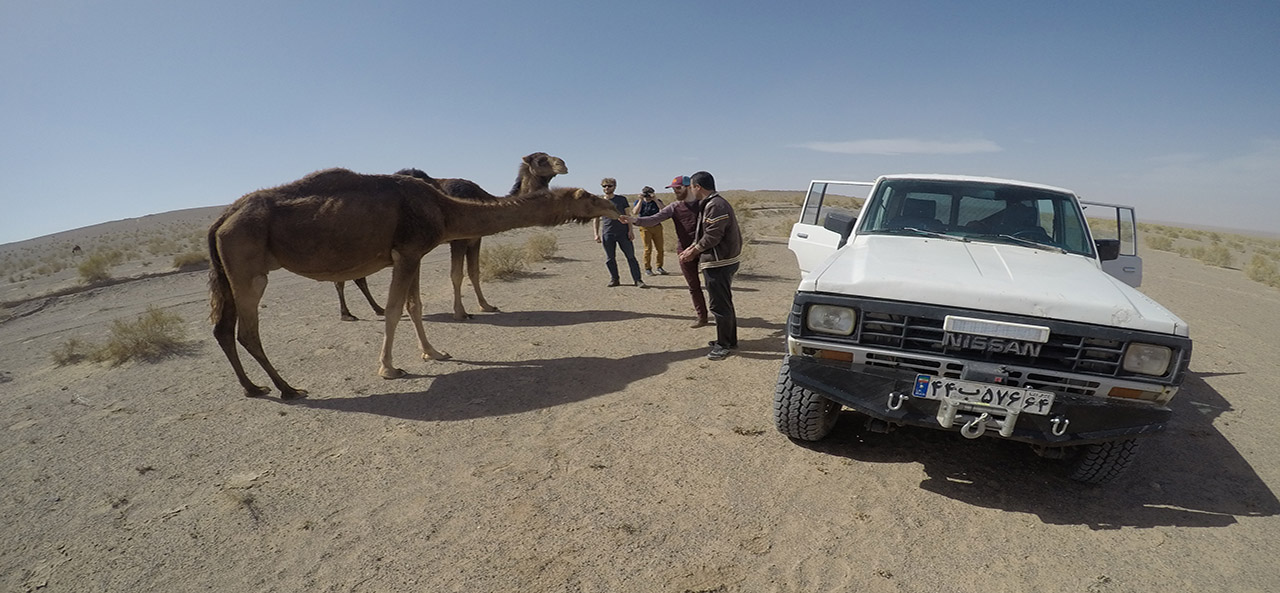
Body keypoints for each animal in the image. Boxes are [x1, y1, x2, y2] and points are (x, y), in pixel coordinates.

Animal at [332, 151, 568, 322]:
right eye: (541, 159)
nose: (563, 164)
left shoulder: (475, 239)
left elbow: (474, 272)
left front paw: (486, 305)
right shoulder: (459, 240)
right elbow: (457, 275)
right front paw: (461, 313)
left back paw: (375, 310)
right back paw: (349, 315)